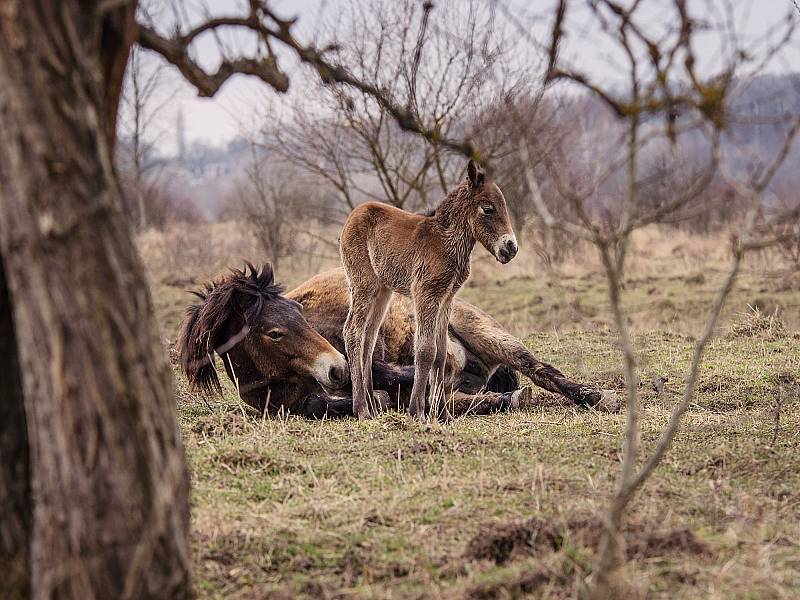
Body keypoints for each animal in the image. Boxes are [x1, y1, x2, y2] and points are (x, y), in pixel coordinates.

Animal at [177, 262, 612, 418]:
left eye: (301, 314)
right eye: (274, 332)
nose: (334, 369)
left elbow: (387, 375)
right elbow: (324, 403)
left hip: (487, 333)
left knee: (538, 369)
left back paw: (590, 396)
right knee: (462, 398)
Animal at [340, 161, 520, 422]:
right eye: (488, 209)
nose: (511, 248)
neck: (446, 242)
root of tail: (354, 214)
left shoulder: (446, 299)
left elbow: (442, 353)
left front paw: (443, 414)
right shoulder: (426, 294)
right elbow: (426, 350)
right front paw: (417, 412)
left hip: (382, 291)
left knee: (368, 336)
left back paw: (372, 405)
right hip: (363, 284)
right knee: (353, 332)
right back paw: (361, 409)